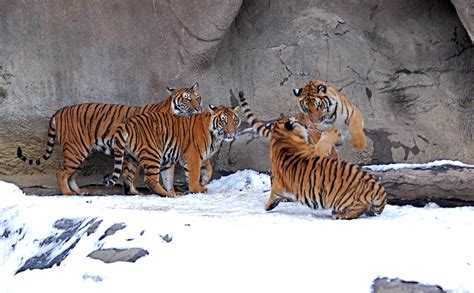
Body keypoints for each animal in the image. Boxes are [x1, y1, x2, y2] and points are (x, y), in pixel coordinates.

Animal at [17, 82, 203, 195]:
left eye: (198, 97)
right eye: (187, 100)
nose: (199, 108)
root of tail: (58, 111)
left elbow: (166, 176)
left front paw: (170, 192)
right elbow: (132, 174)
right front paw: (135, 192)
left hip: (83, 154)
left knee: (71, 174)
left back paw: (79, 192)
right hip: (76, 151)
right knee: (61, 172)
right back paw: (68, 193)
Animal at [103, 103, 241, 196]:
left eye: (234, 120)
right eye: (223, 121)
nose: (231, 133)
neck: (215, 137)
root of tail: (127, 123)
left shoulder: (202, 157)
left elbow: (208, 170)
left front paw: (203, 182)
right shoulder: (193, 156)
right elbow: (194, 174)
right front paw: (197, 189)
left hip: (134, 158)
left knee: (128, 175)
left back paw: (138, 193)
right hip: (153, 154)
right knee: (150, 179)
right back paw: (167, 194)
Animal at [239, 91, 386, 219]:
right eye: (298, 120)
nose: (306, 124)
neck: (281, 138)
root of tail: (376, 188)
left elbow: (273, 194)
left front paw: (268, 205)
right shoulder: (317, 151)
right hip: (340, 198)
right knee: (361, 206)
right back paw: (339, 214)